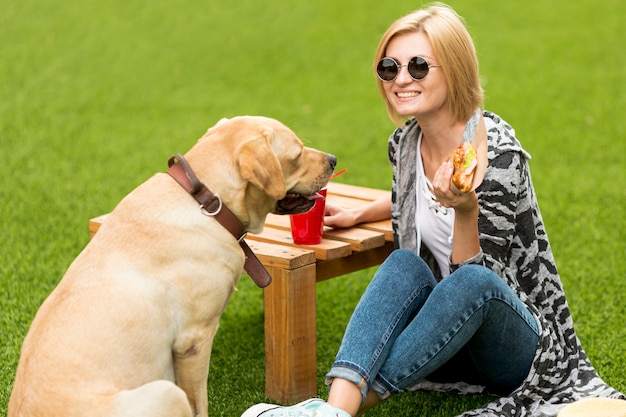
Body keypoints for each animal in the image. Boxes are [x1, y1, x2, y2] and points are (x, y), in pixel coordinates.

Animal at [8, 116, 336, 416]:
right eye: (297, 153)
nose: (333, 159)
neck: (208, 203)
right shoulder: (194, 341)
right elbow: (200, 405)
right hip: (166, 391)